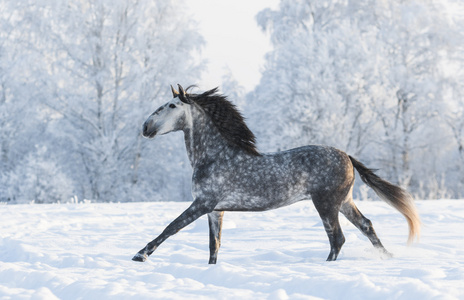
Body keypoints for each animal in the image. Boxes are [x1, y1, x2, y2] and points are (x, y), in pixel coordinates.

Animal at [131, 84, 420, 262]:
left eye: (171, 106)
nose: (145, 127)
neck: (214, 156)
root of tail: (346, 156)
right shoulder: (215, 210)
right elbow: (214, 246)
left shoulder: (202, 203)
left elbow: (171, 227)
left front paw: (140, 255)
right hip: (344, 202)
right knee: (366, 226)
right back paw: (388, 257)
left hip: (326, 203)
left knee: (337, 239)